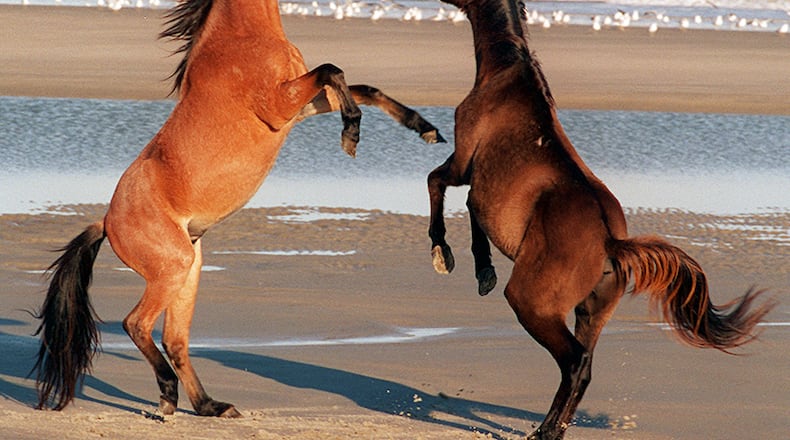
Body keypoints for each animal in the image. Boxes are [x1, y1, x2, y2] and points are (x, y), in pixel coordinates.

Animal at [32, 0, 445, 418]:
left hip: (189, 271)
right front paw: (352, 133)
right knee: (137, 324)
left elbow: (362, 88)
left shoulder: (298, 107)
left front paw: (425, 128)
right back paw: (168, 395)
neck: (242, 37)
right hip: (172, 269)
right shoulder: (280, 106)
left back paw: (209, 406)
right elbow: (333, 71)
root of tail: (106, 221)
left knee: (175, 340)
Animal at [427, 1, 775, 438]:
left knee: (574, 363)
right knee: (584, 367)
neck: (506, 73)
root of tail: (612, 243)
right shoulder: (478, 185)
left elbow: (437, 184)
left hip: (531, 304)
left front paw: (443, 252)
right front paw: (482, 270)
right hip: (591, 312)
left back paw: (545, 431)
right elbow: (472, 211)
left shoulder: (462, 165)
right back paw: (552, 428)